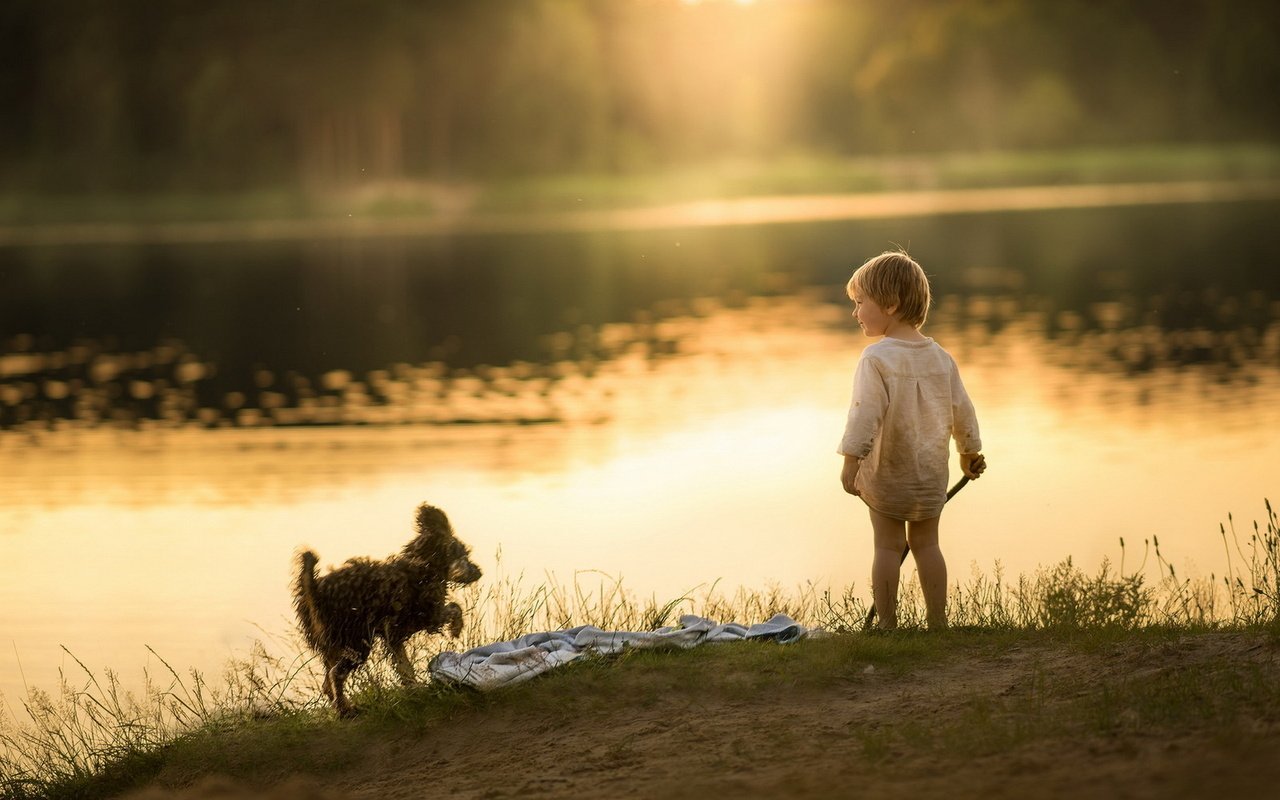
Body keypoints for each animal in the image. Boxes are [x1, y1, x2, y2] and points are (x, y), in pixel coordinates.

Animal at [293, 501, 481, 716]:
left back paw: (340, 707)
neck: (423, 565)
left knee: (326, 682)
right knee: (336, 674)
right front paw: (456, 628)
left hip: (334, 646)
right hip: (357, 643)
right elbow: (454, 607)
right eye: (463, 554)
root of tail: (314, 591)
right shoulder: (427, 616)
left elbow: (404, 667)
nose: (479, 572)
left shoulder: (394, 636)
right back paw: (345, 710)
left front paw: (415, 689)